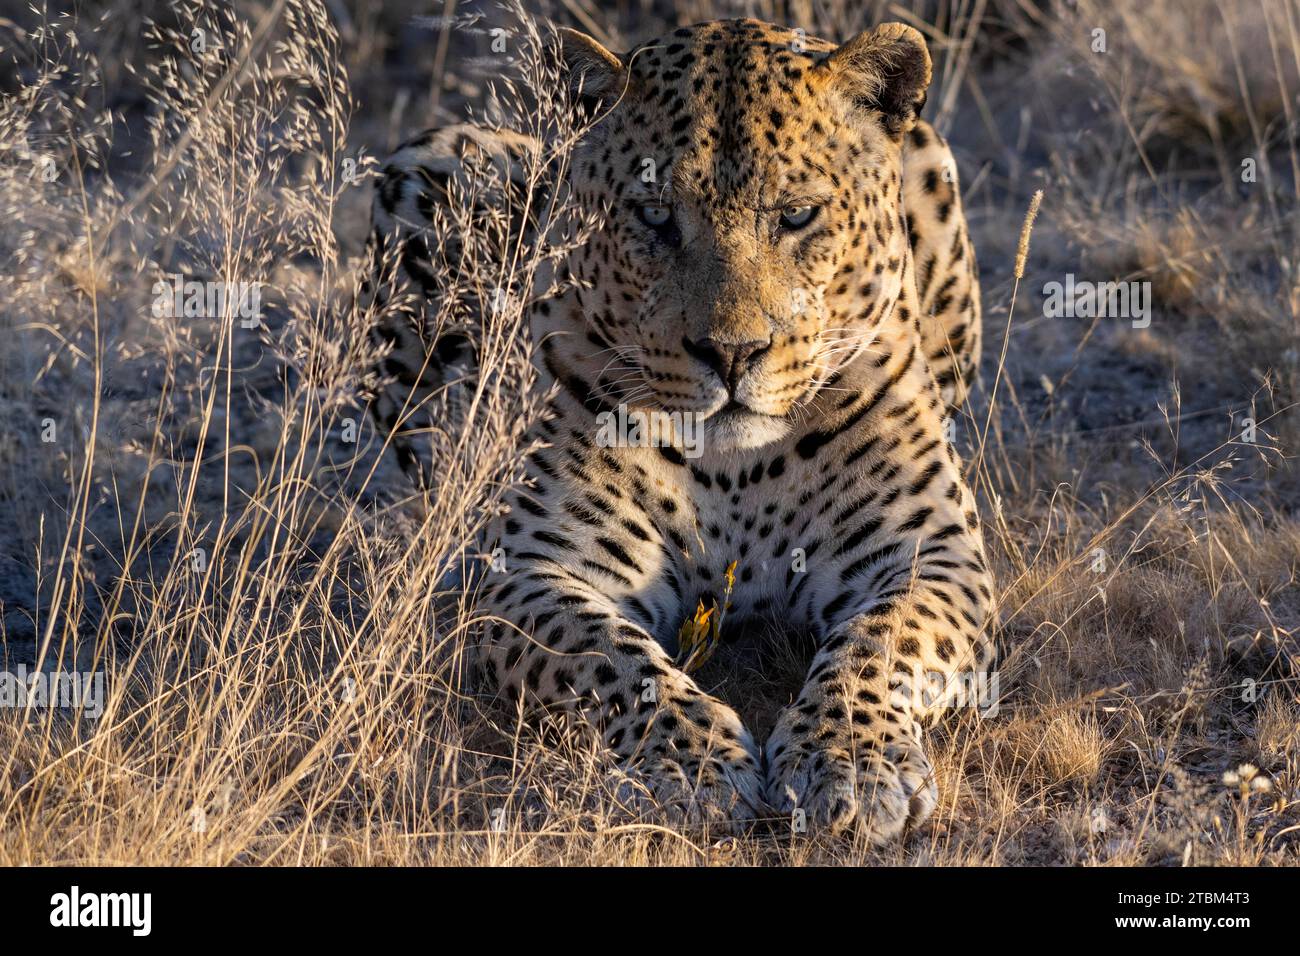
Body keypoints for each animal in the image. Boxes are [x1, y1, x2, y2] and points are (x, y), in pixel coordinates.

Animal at [366, 16, 993, 842]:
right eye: (656, 218)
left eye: (797, 215)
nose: (732, 352)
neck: (737, 469)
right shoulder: (534, 567)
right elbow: (611, 655)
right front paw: (694, 767)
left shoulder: (931, 553)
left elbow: (880, 642)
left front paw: (850, 762)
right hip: (437, 159)